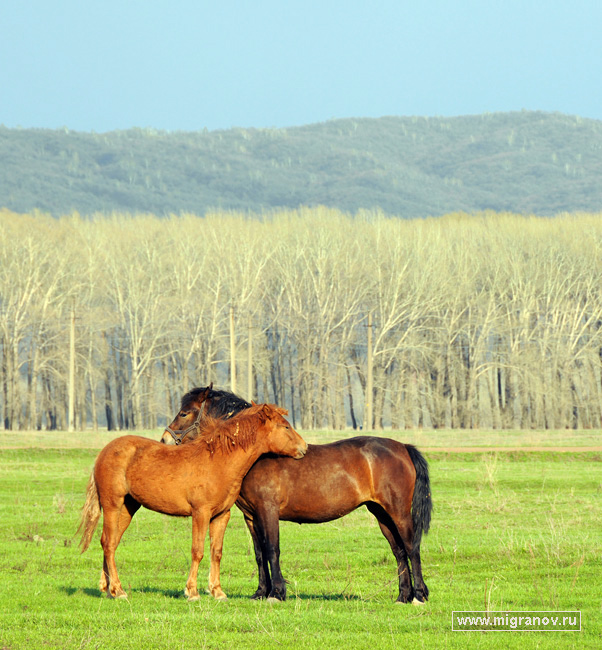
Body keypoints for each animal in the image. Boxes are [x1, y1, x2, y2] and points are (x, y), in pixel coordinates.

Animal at [78, 402, 307, 601]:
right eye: (285, 426)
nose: (304, 448)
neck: (219, 460)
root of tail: (104, 452)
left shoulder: (221, 516)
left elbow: (216, 552)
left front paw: (217, 592)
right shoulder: (201, 513)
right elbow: (198, 551)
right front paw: (192, 592)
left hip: (128, 507)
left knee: (111, 542)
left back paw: (108, 589)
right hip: (112, 505)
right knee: (108, 543)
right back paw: (118, 590)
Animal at [161, 386, 432, 604]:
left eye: (184, 412)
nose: (164, 440)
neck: (259, 456)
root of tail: (402, 447)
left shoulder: (268, 510)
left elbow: (272, 549)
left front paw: (276, 593)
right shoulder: (251, 516)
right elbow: (259, 553)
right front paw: (260, 592)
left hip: (398, 512)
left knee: (411, 547)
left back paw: (418, 596)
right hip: (381, 514)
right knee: (398, 551)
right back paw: (402, 596)